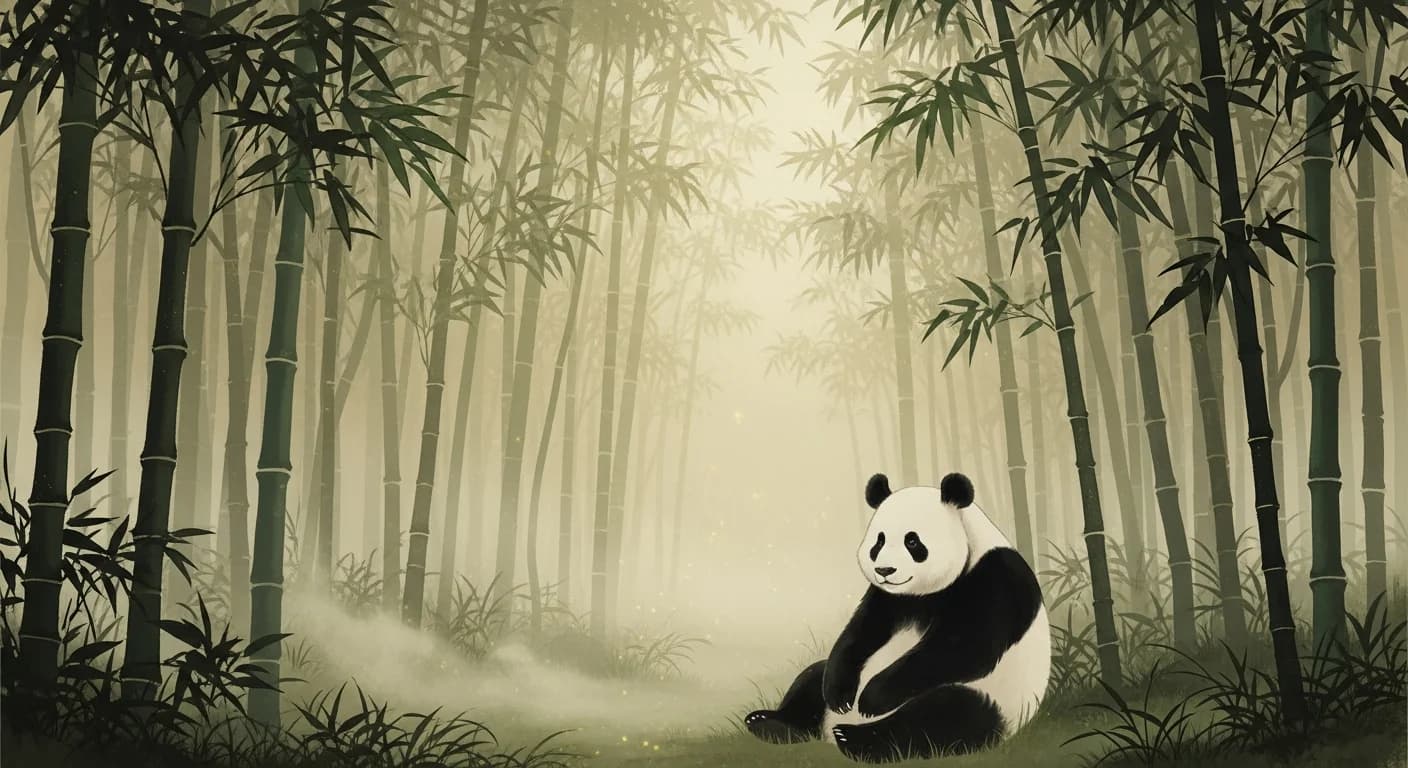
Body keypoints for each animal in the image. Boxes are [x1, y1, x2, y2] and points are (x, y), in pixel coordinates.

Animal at [745, 472, 1050, 763]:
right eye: (878, 541)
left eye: (912, 541)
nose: (885, 570)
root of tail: (827, 730)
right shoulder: (890, 598)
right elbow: (862, 630)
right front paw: (840, 695)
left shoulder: (996, 580)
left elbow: (966, 647)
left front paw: (872, 698)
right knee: (813, 677)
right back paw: (771, 723)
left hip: (996, 702)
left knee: (945, 716)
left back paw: (853, 739)